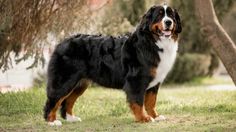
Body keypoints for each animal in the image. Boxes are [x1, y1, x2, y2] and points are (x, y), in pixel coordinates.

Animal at [43, 3, 181, 126]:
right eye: (159, 15)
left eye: (171, 15)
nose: (168, 22)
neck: (152, 42)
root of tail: (62, 42)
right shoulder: (136, 80)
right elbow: (138, 102)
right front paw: (143, 118)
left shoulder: (154, 82)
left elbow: (151, 102)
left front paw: (155, 116)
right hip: (64, 81)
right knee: (54, 100)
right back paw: (52, 121)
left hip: (80, 83)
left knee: (68, 101)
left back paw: (71, 118)